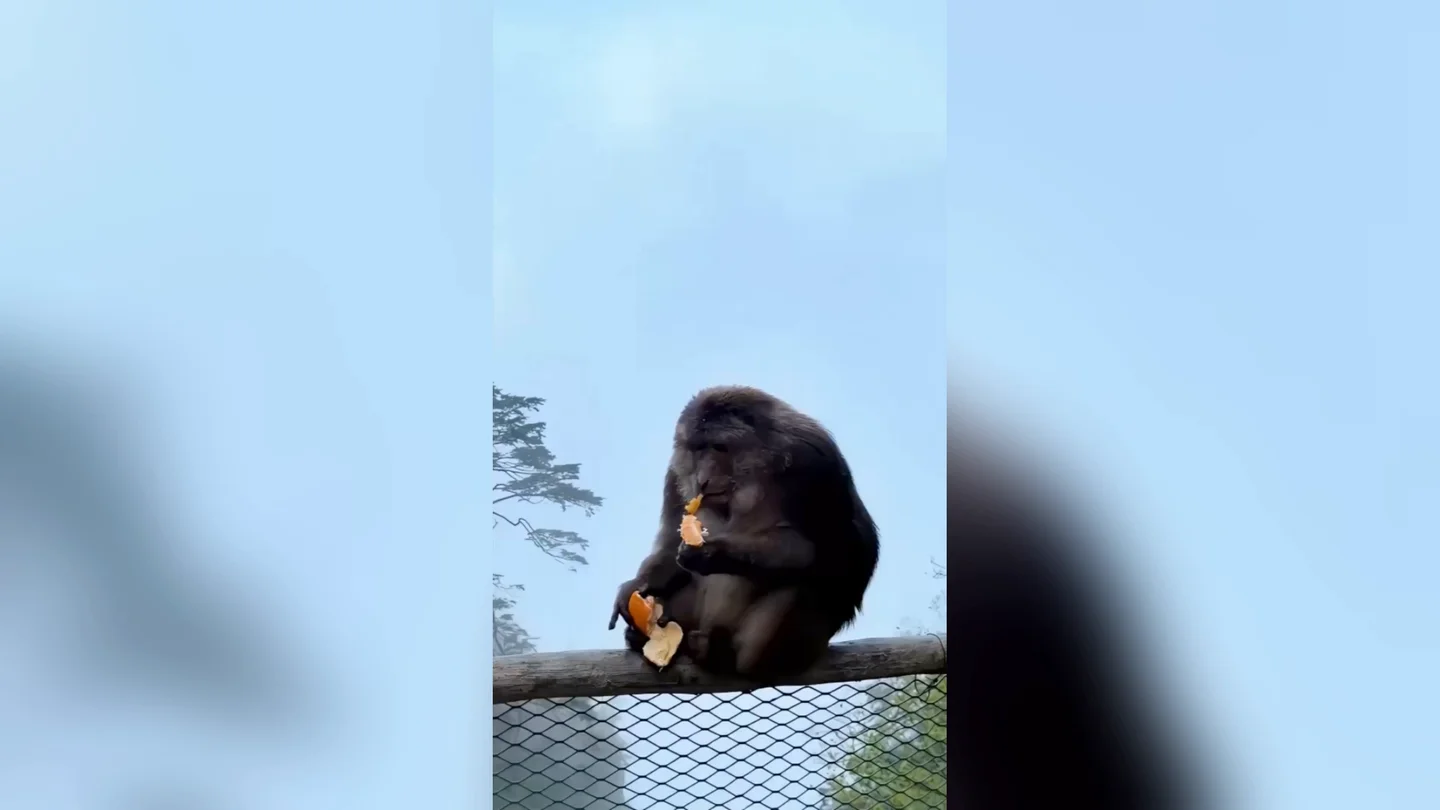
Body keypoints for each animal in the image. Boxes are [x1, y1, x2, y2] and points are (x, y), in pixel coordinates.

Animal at [607, 385, 879, 679]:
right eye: (697, 449)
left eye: (718, 447)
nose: (702, 479)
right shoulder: (675, 472)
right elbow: (670, 543)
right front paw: (636, 586)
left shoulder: (815, 464)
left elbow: (834, 555)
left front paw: (712, 553)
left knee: (808, 583)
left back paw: (719, 656)